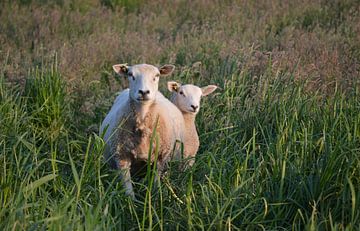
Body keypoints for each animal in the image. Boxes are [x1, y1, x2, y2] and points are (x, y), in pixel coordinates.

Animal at [101, 63, 186, 199]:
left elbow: (156, 180)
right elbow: (128, 188)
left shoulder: (160, 157)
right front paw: (130, 202)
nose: (144, 92)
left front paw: (156, 196)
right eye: (130, 74)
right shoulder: (121, 157)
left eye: (157, 75)